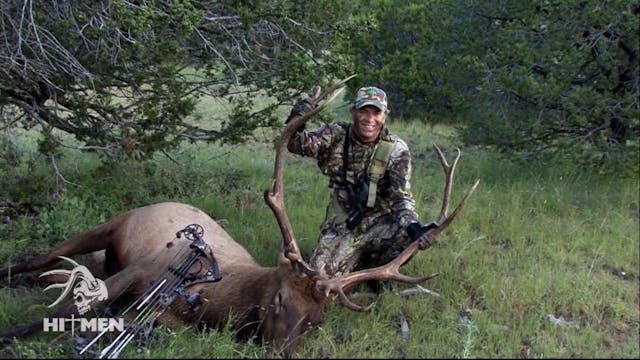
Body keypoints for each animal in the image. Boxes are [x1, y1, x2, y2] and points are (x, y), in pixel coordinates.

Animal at [0, 76, 476, 358]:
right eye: (280, 299)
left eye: (316, 322)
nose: (279, 352)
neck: (213, 300)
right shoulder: (144, 269)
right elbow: (70, 312)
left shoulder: (167, 319)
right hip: (113, 223)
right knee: (38, 258)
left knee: (64, 269)